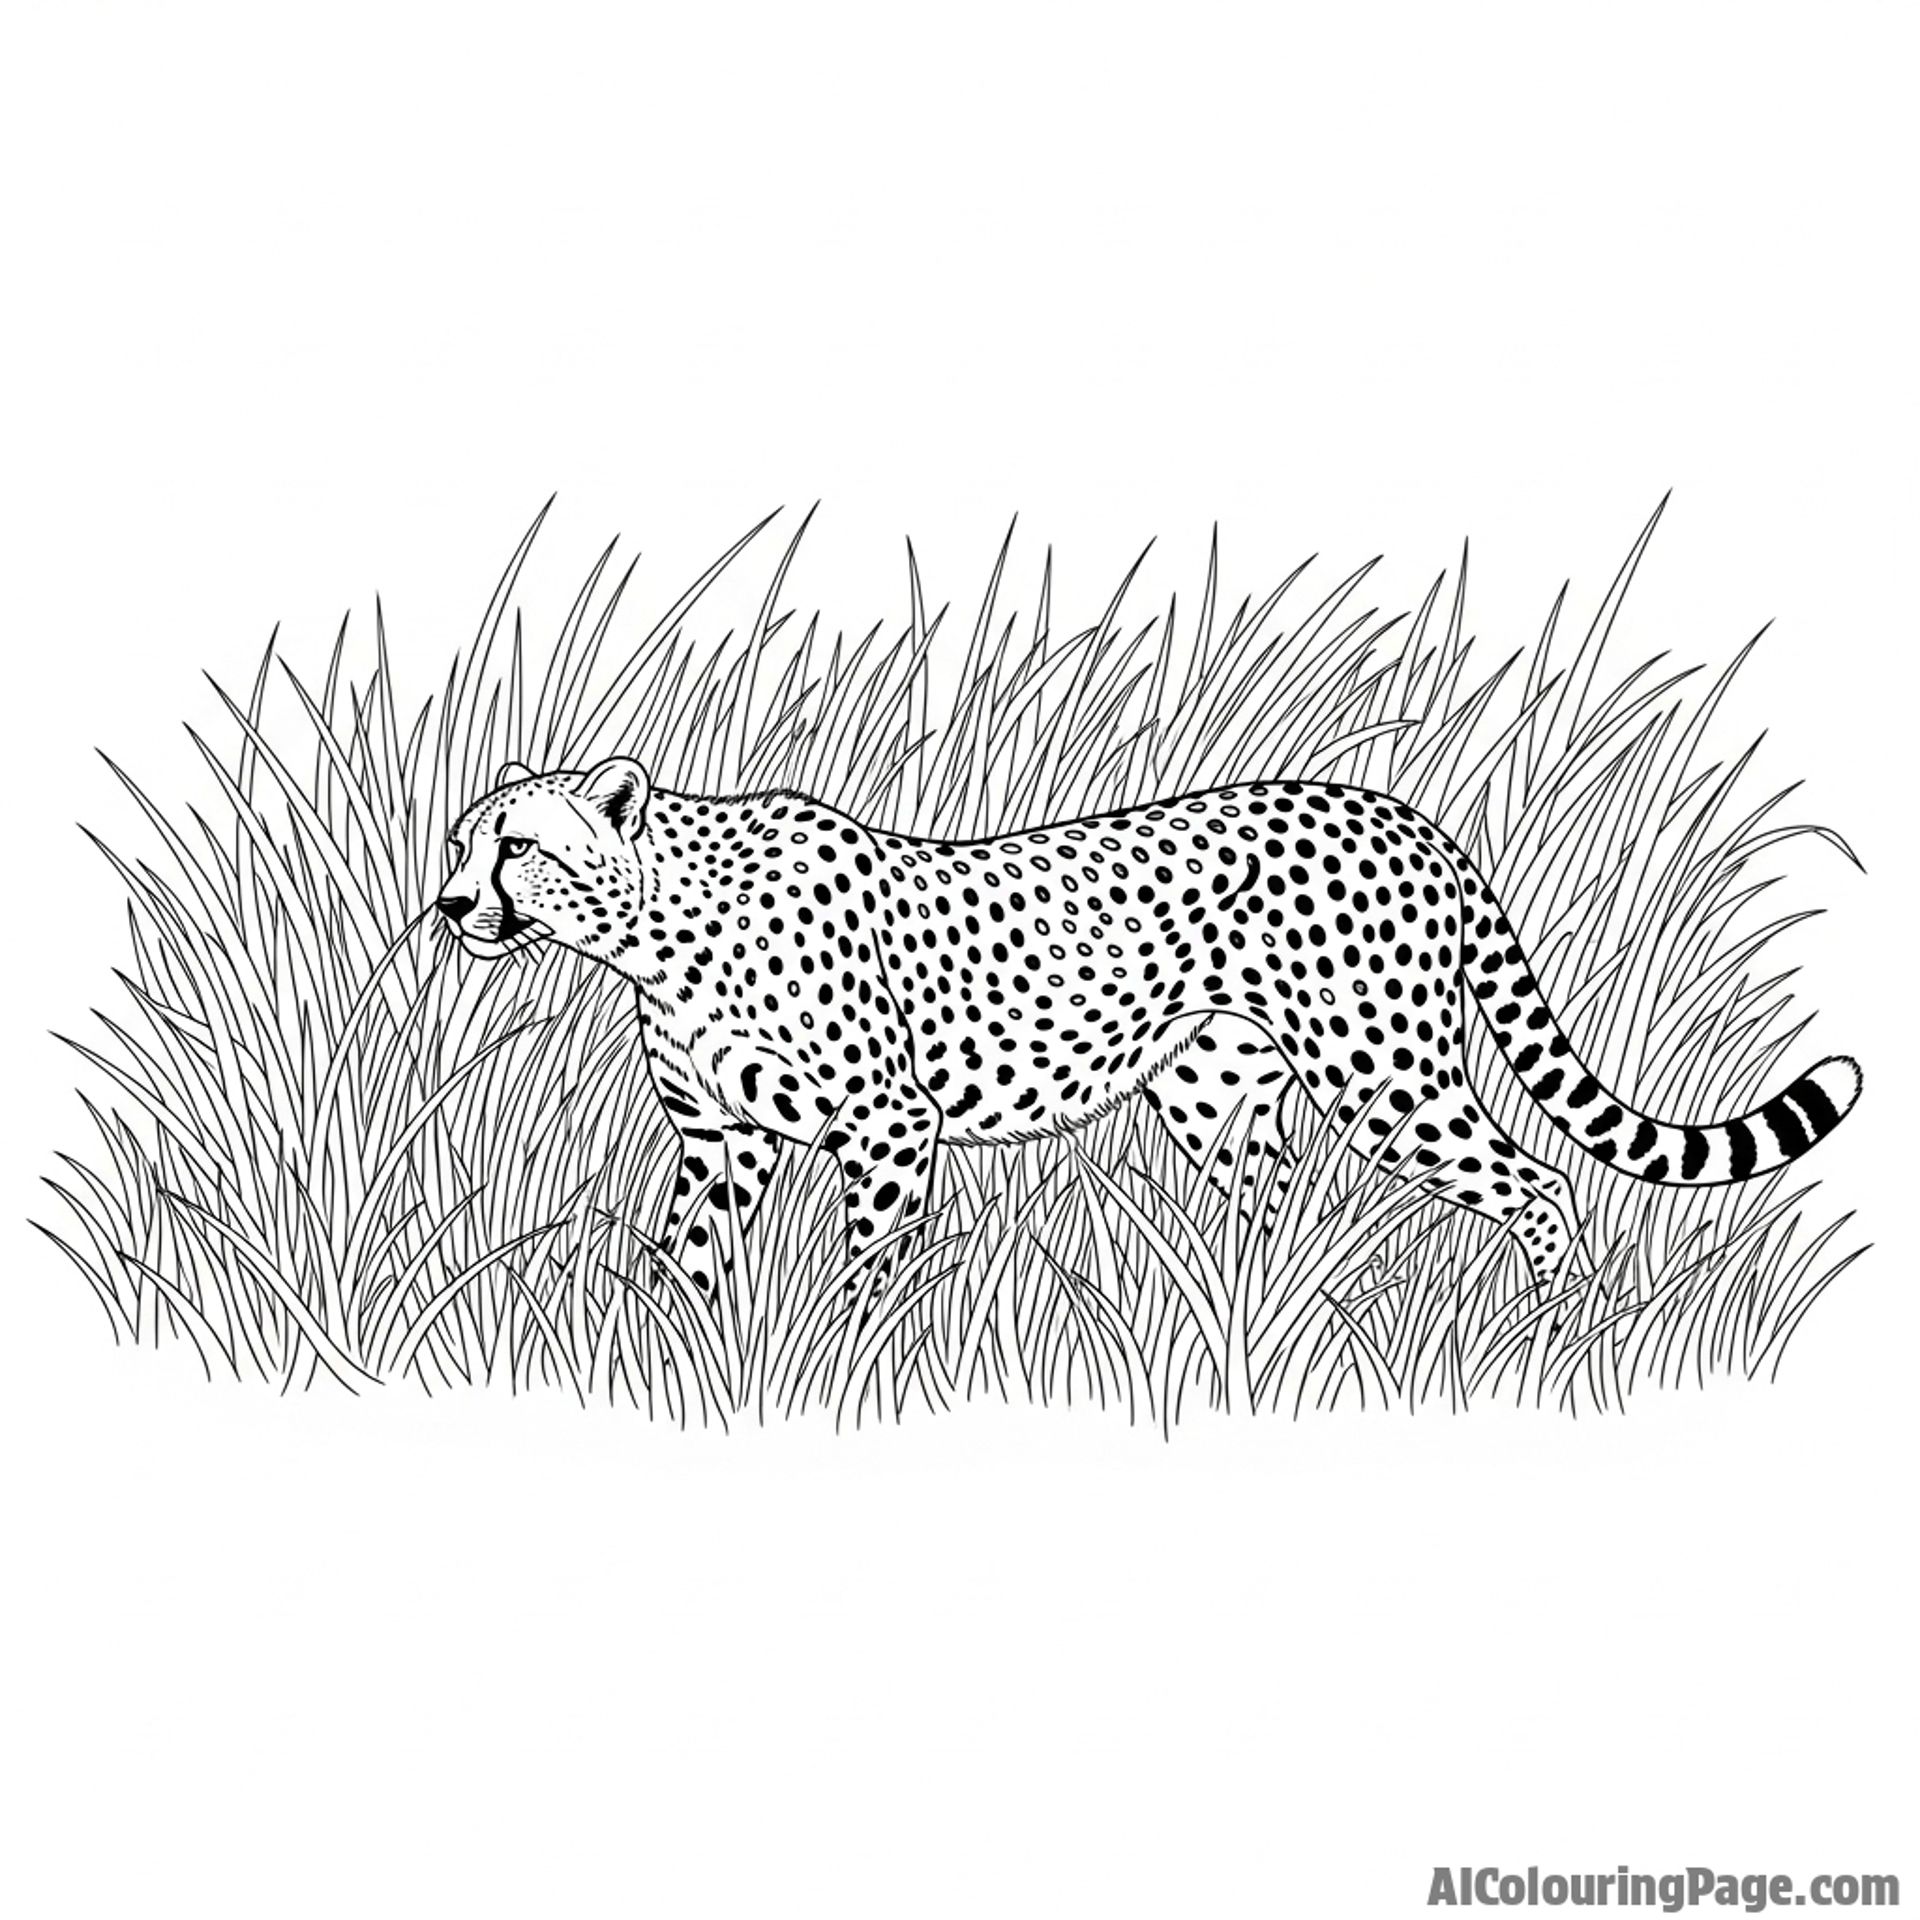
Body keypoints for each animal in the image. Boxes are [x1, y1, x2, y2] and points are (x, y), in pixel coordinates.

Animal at [439, 756, 1861, 1297]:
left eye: (517, 847)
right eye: (459, 844)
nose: (451, 905)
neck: (656, 922)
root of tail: (1406, 813)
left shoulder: (887, 1126)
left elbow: (868, 1270)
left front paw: (842, 1362)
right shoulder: (720, 1141)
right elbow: (686, 1260)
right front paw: (681, 1356)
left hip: (1389, 1079)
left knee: (1540, 1182)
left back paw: (1544, 1332)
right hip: (1215, 1095)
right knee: (1265, 1210)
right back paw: (1244, 1324)